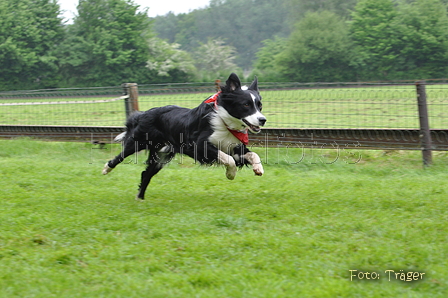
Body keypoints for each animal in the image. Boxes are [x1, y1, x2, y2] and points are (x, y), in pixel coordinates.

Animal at [103, 73, 266, 200]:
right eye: (246, 105)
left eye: (259, 105)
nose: (262, 120)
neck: (225, 121)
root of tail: (144, 113)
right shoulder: (199, 146)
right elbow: (228, 159)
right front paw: (230, 174)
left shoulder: (235, 147)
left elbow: (253, 155)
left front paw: (258, 168)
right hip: (139, 141)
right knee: (120, 156)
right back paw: (106, 169)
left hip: (161, 155)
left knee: (146, 174)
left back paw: (140, 198)